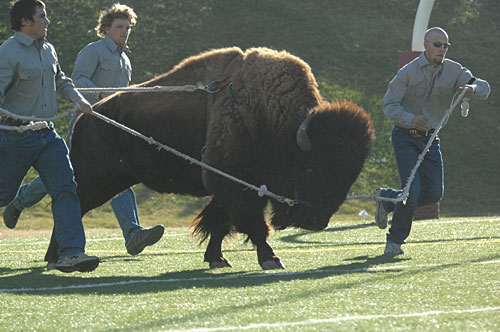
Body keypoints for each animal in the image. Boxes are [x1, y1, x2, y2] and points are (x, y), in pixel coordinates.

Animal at [45, 46, 374, 270]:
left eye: (350, 175)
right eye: (312, 169)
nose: (316, 222)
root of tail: (85, 115)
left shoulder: (233, 187)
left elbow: (218, 223)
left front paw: (217, 259)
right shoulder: (238, 188)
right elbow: (251, 225)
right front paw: (271, 259)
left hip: (115, 180)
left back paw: (56, 259)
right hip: (94, 179)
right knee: (71, 206)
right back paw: (57, 259)